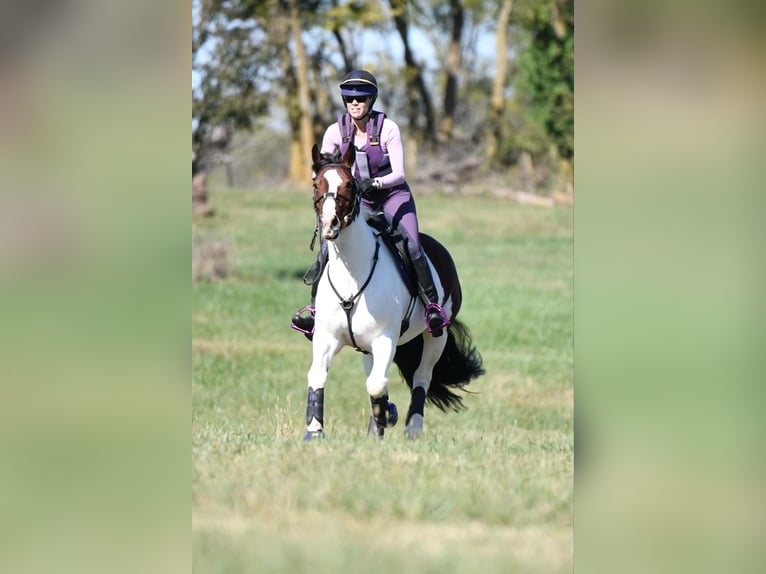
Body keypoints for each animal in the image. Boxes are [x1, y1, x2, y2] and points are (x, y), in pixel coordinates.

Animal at [302, 144, 486, 440]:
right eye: (316, 183)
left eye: (350, 184)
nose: (330, 223)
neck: (352, 274)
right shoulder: (326, 338)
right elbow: (318, 376)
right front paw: (315, 431)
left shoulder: (384, 338)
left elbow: (377, 385)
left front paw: (386, 415)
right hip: (366, 347)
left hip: (436, 335)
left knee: (421, 377)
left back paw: (412, 427)